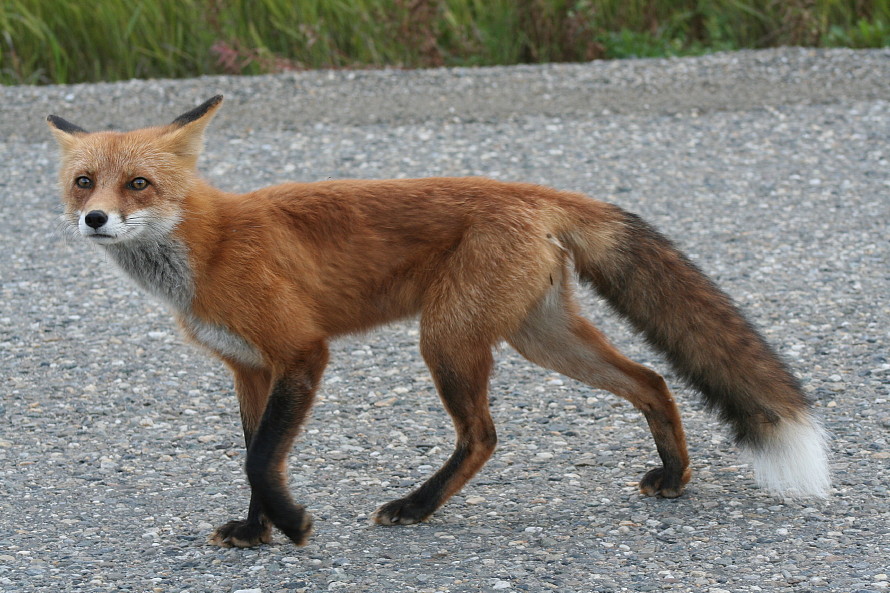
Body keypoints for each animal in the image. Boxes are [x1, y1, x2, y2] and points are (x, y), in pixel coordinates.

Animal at [47, 95, 830, 548]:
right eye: (85, 182)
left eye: (139, 184)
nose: (95, 219)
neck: (208, 248)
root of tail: (531, 190)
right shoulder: (249, 368)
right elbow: (254, 455)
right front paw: (254, 528)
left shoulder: (301, 352)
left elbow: (259, 458)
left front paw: (293, 524)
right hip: (539, 337)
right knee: (652, 379)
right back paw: (673, 475)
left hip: (447, 339)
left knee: (483, 436)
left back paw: (417, 507)